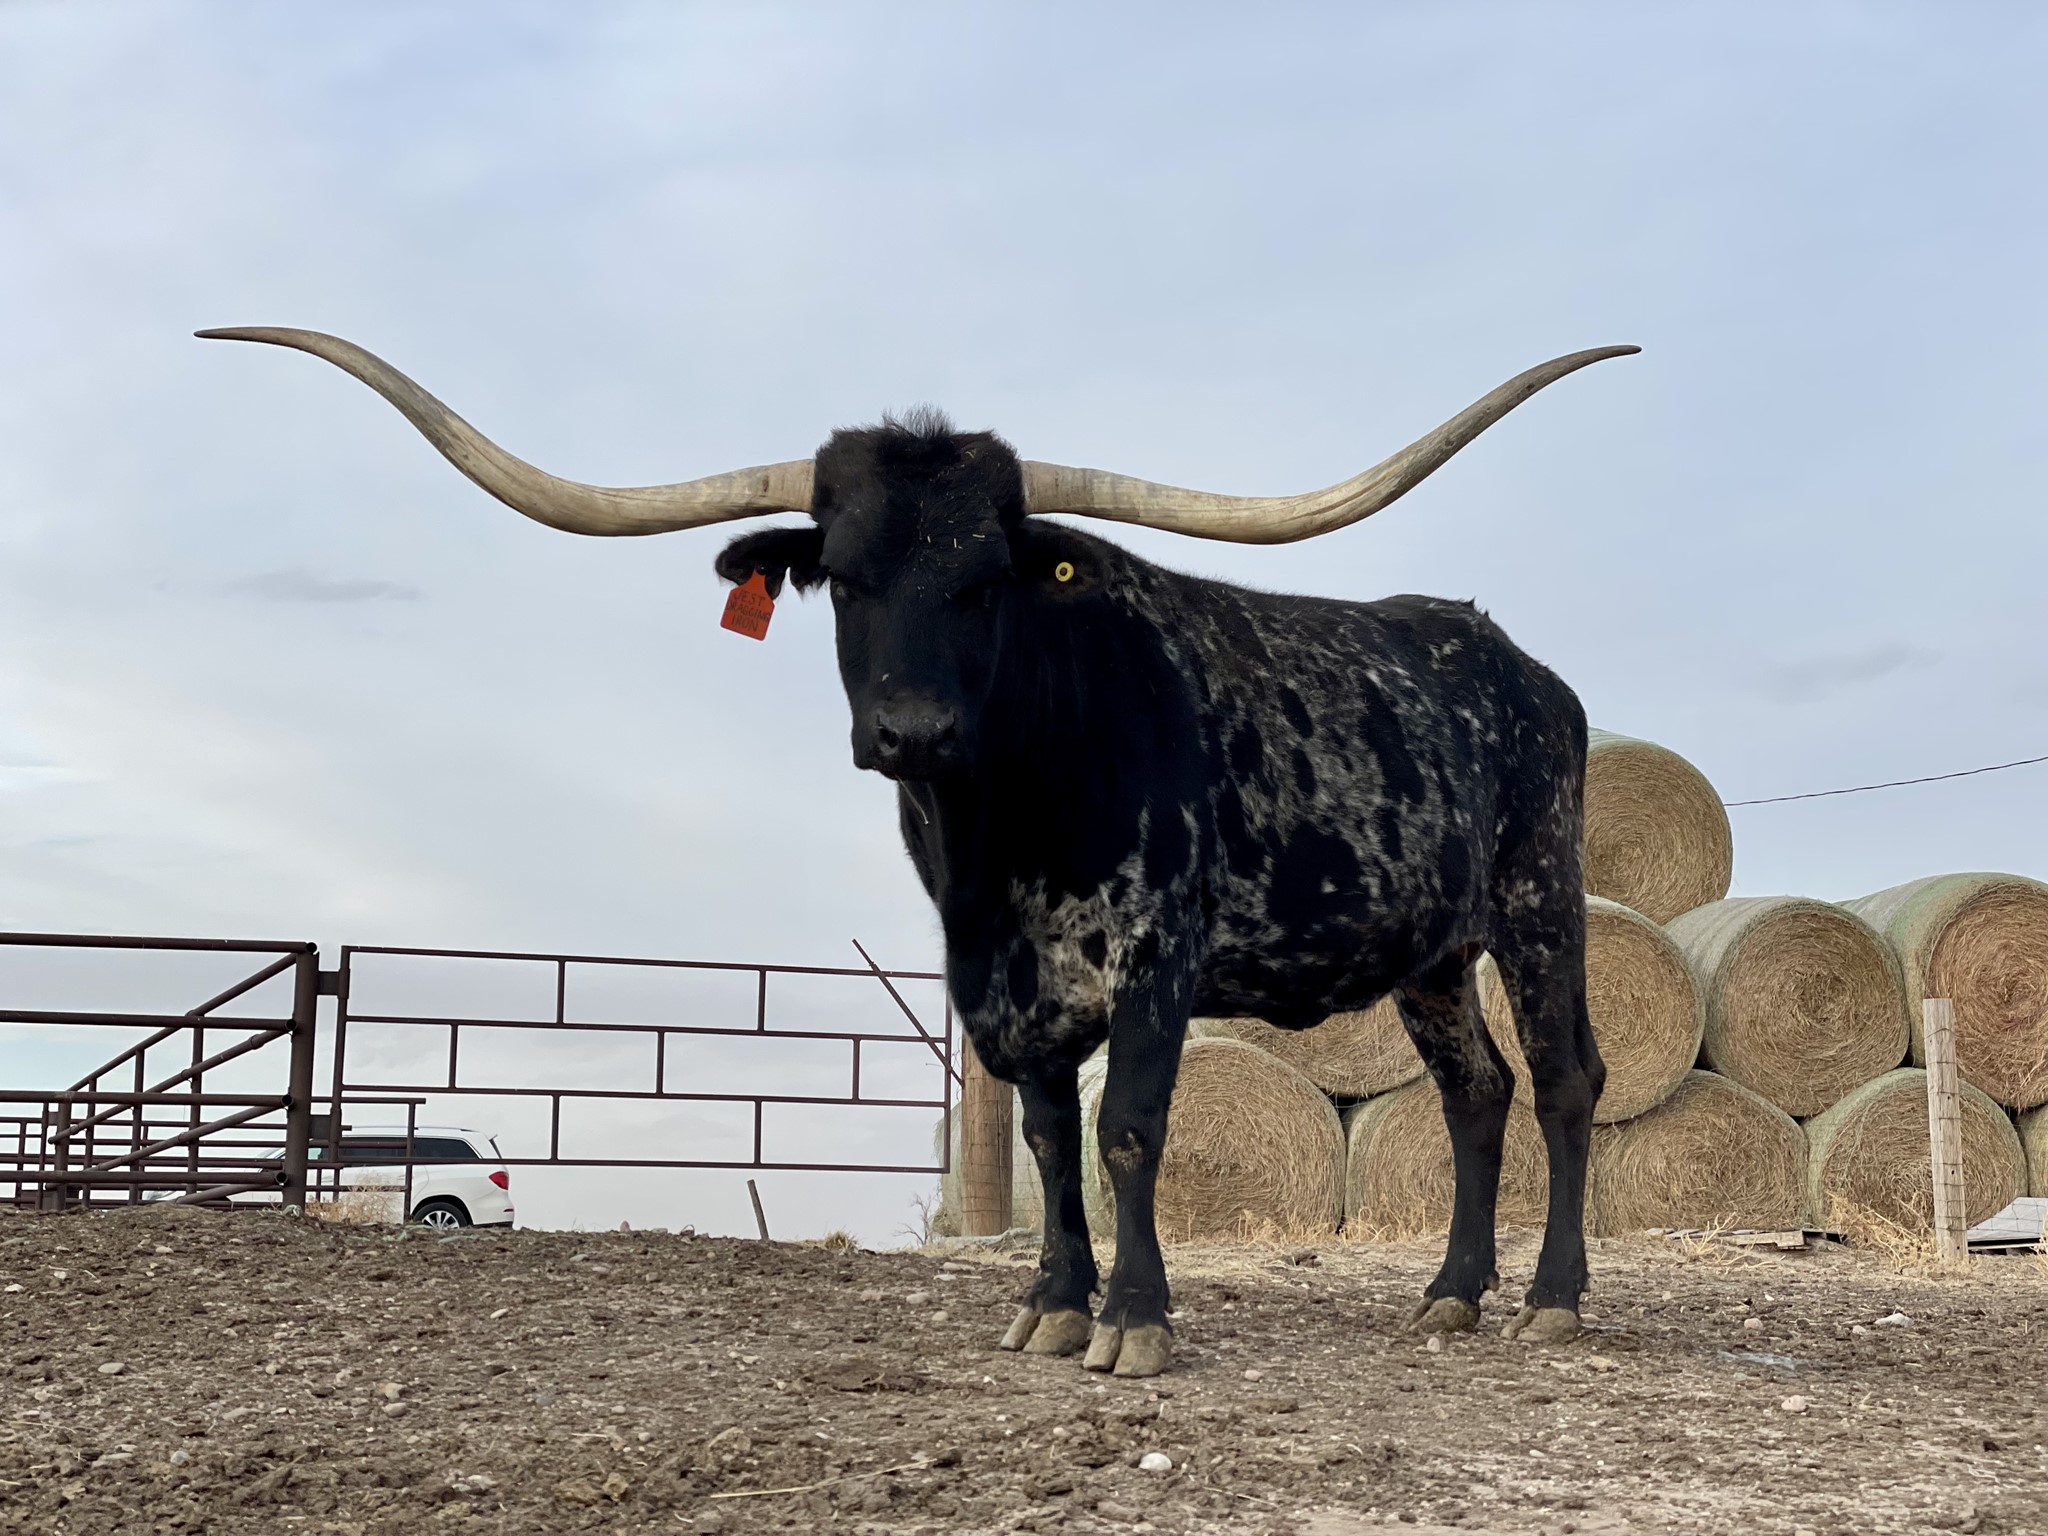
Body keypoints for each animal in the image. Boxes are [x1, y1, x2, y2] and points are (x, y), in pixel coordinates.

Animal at [199, 325, 1633, 1377]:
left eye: (989, 576)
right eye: (839, 572)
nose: (911, 728)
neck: (1000, 828)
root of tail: (1518, 664)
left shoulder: (1154, 954)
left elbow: (1127, 1132)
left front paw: (1137, 1323)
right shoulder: (1007, 982)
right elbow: (1050, 1141)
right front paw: (1053, 1308)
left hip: (1536, 903)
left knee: (1565, 1080)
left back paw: (1552, 1300)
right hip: (1429, 953)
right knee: (1474, 1095)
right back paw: (1450, 1293)